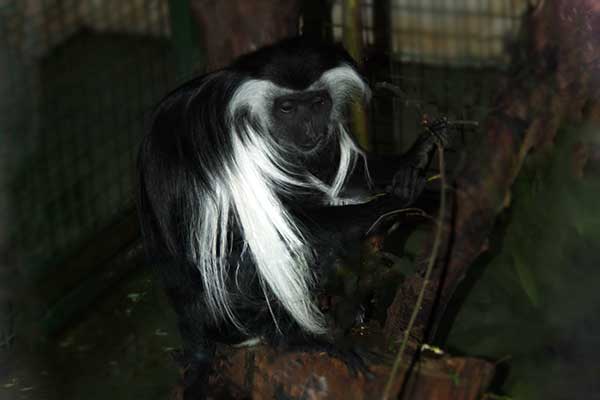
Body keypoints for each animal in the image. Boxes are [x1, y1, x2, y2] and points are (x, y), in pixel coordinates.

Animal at [137, 36, 446, 396]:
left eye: (317, 103)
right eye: (287, 108)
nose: (310, 127)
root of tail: (194, 326)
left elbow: (344, 173)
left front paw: (413, 156)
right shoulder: (241, 149)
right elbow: (293, 228)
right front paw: (396, 202)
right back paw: (304, 339)